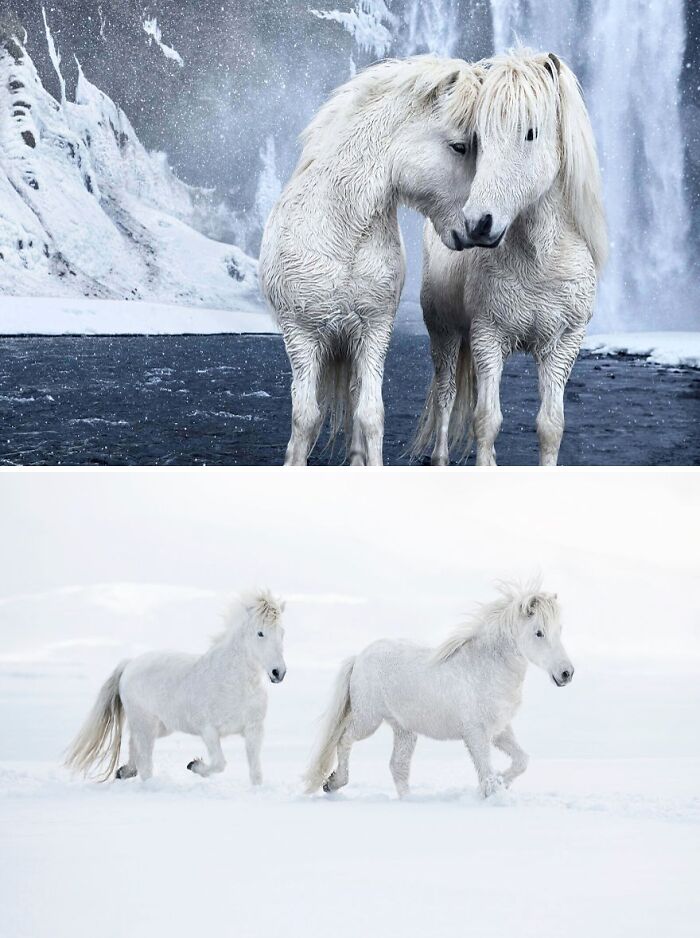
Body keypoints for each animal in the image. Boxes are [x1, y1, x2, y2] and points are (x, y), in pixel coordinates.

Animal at [65, 589, 287, 784]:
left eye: (282, 632)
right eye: (260, 633)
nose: (278, 673)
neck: (235, 683)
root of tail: (130, 664)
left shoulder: (254, 731)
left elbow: (256, 774)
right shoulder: (209, 731)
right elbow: (219, 763)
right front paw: (194, 765)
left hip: (160, 727)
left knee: (134, 747)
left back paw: (124, 771)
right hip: (145, 725)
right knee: (145, 764)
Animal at [259, 55, 484, 465]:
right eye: (460, 146)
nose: (478, 227)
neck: (340, 234)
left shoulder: (374, 332)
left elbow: (370, 413)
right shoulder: (301, 336)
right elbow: (305, 418)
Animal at [304, 580, 573, 799]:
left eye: (560, 630)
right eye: (538, 632)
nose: (566, 673)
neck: (487, 667)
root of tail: (359, 656)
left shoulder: (499, 730)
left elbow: (521, 761)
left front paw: (500, 784)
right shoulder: (476, 733)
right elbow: (487, 773)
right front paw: (492, 791)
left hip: (404, 729)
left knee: (398, 767)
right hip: (368, 719)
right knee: (345, 740)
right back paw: (333, 783)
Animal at [414, 49, 607, 466]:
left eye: (530, 132)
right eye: (479, 138)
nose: (477, 223)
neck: (539, 262)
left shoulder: (562, 346)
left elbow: (550, 426)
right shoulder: (488, 337)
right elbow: (486, 421)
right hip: (444, 334)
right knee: (445, 396)